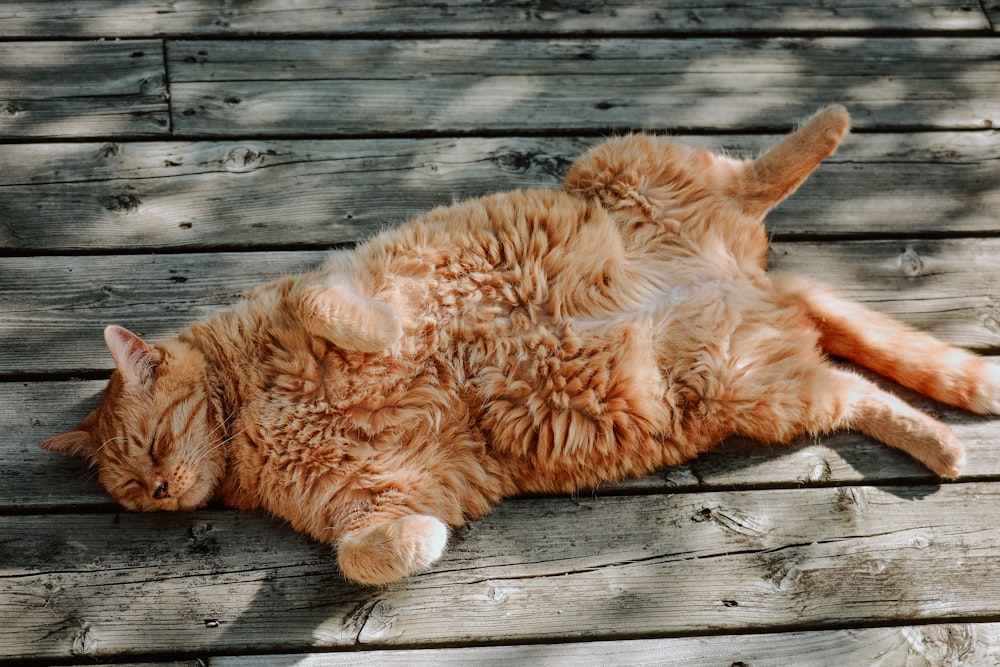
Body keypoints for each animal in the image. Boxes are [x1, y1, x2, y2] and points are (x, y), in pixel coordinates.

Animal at [41, 104, 1000, 584]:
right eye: (135, 487)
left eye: (152, 449)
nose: (165, 489)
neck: (246, 418)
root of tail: (749, 282)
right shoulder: (374, 495)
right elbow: (367, 555)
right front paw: (428, 541)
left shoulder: (329, 284)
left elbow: (332, 303)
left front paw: (384, 332)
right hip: (756, 384)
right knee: (853, 384)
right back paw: (945, 441)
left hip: (629, 170)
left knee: (756, 174)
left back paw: (834, 119)